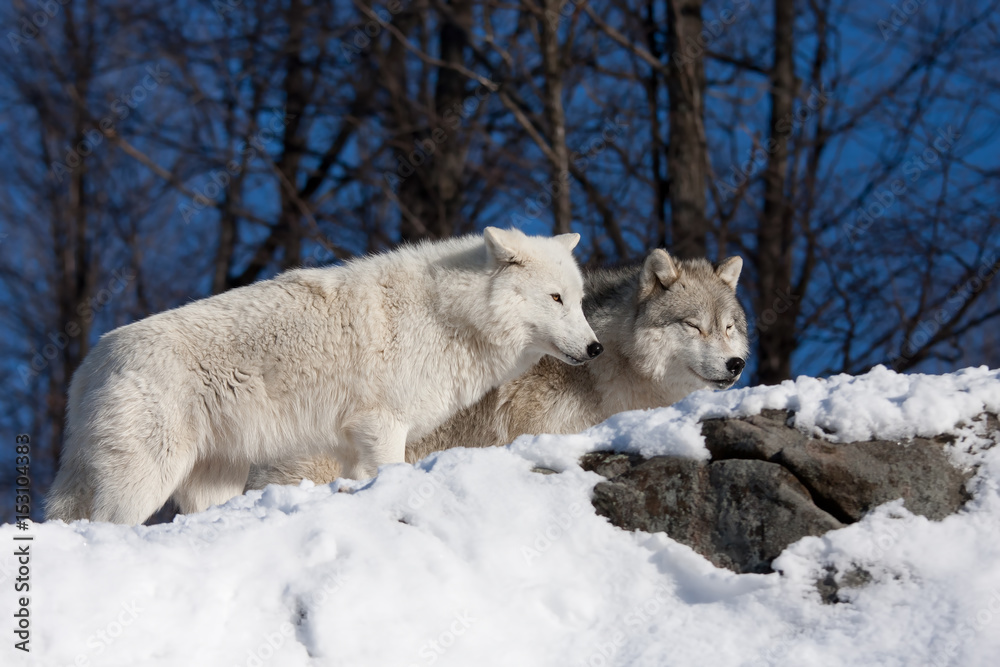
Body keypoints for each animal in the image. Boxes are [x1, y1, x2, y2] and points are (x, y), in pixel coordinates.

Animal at [46, 228, 602, 524]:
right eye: (555, 298)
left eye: (578, 301)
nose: (596, 348)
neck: (449, 313)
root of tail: (90, 362)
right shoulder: (383, 425)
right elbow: (390, 470)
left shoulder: (353, 444)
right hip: (146, 478)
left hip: (212, 481)